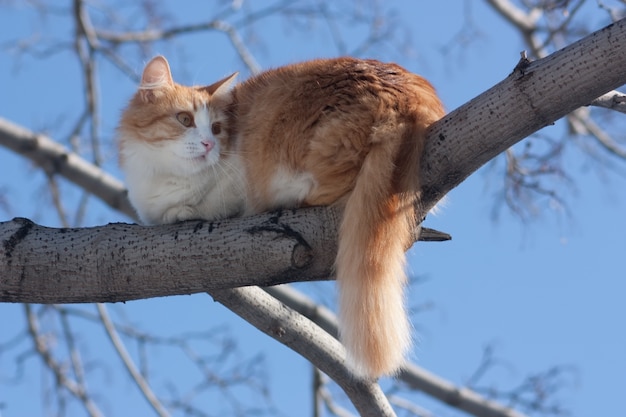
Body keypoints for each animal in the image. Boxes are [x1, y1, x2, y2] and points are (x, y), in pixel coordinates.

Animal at [118, 54, 444, 376]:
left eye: (216, 129)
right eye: (185, 120)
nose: (209, 145)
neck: (161, 179)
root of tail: (405, 91)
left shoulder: (238, 182)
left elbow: (206, 204)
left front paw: (183, 210)